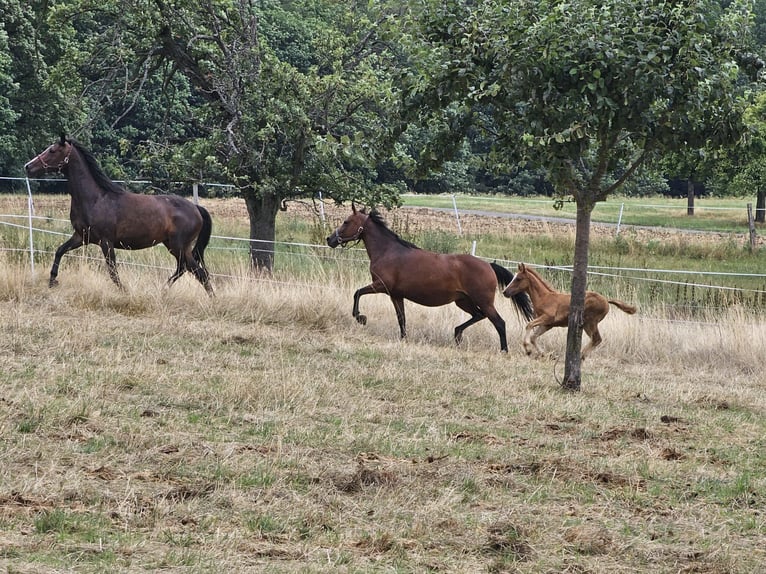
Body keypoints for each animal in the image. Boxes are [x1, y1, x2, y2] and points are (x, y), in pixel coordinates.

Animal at [24, 136, 213, 294]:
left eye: (52, 150)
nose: (28, 167)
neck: (95, 199)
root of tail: (196, 208)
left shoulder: (106, 242)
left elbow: (113, 271)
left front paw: (124, 291)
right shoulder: (81, 237)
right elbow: (60, 251)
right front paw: (52, 281)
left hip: (179, 246)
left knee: (198, 272)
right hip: (173, 245)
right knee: (185, 269)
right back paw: (163, 290)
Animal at [328, 207, 536, 352]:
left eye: (346, 222)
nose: (330, 239)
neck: (388, 251)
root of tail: (489, 265)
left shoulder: (381, 286)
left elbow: (357, 293)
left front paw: (360, 318)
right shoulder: (396, 295)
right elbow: (401, 318)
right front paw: (403, 339)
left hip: (482, 301)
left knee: (499, 322)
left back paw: (503, 350)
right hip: (463, 301)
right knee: (478, 316)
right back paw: (457, 334)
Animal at [504, 264, 636, 360]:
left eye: (518, 279)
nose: (505, 292)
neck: (544, 297)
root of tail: (606, 300)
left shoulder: (548, 318)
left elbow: (529, 325)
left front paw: (528, 349)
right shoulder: (547, 325)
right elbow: (533, 337)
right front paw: (543, 353)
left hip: (590, 322)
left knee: (597, 339)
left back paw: (581, 355)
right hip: (587, 324)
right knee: (596, 339)